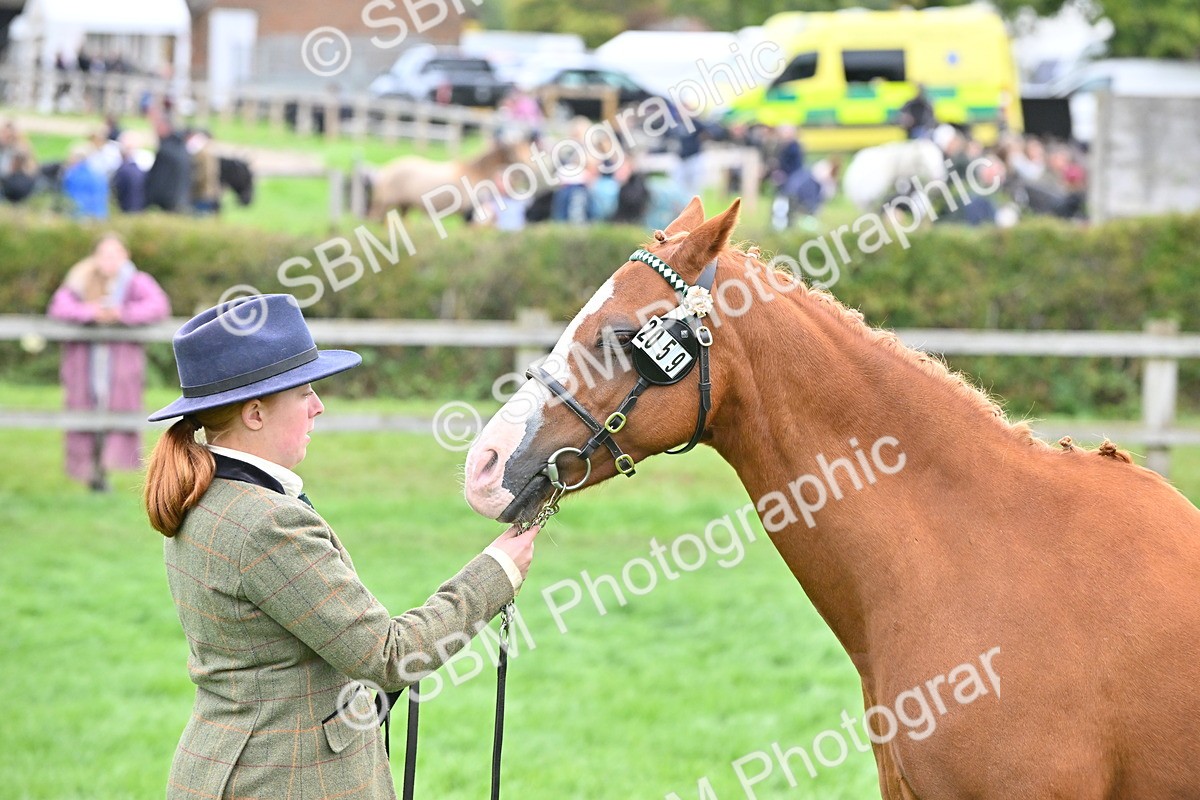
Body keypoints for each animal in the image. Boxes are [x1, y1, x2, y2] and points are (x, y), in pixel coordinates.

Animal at [367, 139, 533, 220]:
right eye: (516, 156)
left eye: (527, 152)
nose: (529, 175)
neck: (475, 172)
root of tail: (384, 172)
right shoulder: (467, 210)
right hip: (385, 205)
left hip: (403, 206)